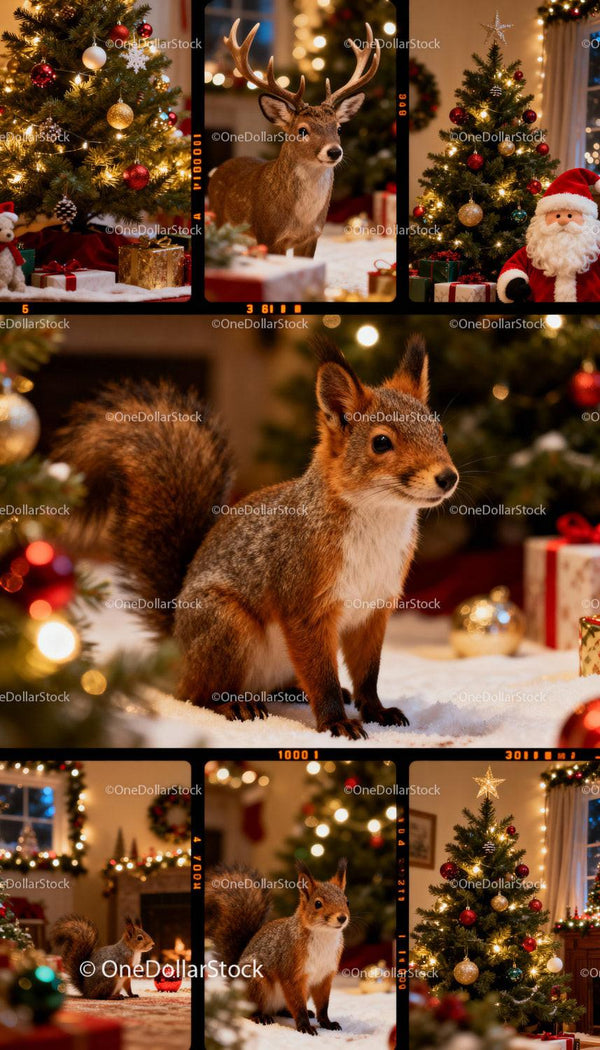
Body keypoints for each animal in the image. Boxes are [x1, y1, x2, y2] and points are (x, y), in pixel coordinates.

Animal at [54, 335, 458, 739]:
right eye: (381, 443)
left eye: (442, 434)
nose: (447, 477)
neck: (380, 519)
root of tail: (177, 650)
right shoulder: (303, 602)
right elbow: (322, 675)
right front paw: (336, 722)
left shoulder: (374, 609)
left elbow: (368, 673)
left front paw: (376, 710)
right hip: (227, 626)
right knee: (197, 694)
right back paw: (235, 704)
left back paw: (294, 692)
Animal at [206, 859, 349, 1035]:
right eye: (317, 903)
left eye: (347, 901)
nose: (342, 917)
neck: (324, 936)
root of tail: (236, 986)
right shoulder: (291, 972)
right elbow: (297, 1004)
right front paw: (305, 1026)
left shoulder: (325, 976)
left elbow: (323, 1005)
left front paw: (327, 1023)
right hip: (256, 981)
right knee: (249, 1010)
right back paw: (260, 1017)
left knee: (282, 1008)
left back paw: (291, 1012)